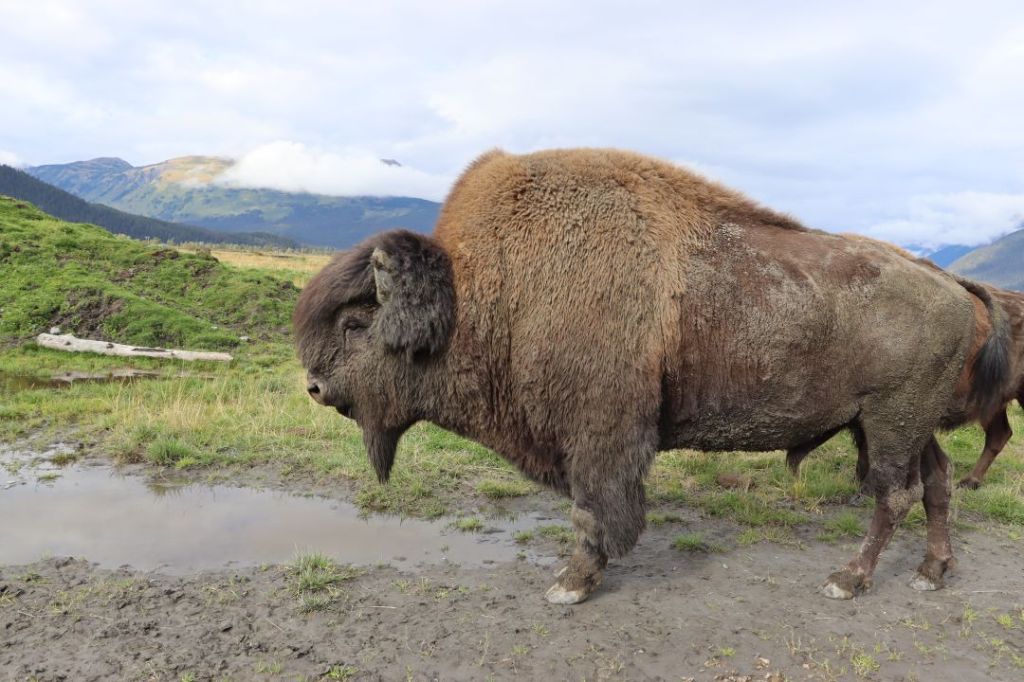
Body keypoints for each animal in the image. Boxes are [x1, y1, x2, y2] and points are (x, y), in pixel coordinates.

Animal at [294, 148, 1010, 604]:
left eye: (356, 323)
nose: (315, 388)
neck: (478, 293)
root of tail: (949, 282)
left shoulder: (599, 437)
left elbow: (590, 511)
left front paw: (571, 584)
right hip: (900, 425)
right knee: (937, 484)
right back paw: (931, 572)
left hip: (889, 424)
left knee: (894, 495)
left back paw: (848, 580)